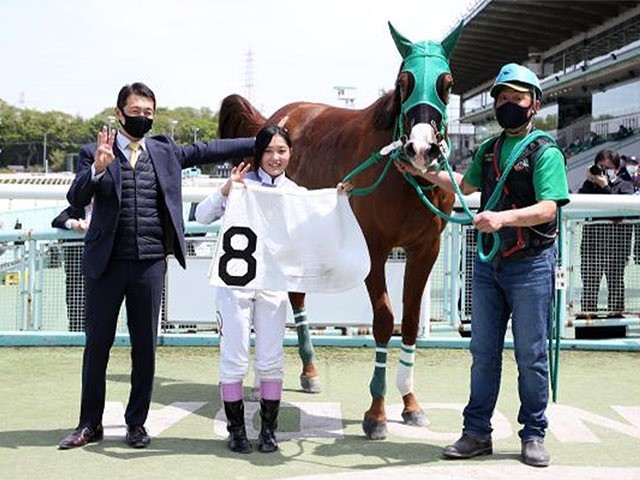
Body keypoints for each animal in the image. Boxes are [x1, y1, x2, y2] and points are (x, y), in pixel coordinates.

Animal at [220, 24, 460, 440]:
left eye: (446, 84)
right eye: (403, 82)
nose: (420, 148)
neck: (403, 179)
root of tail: (277, 117)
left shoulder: (426, 248)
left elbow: (410, 321)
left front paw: (411, 404)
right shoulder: (374, 248)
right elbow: (384, 320)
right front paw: (377, 413)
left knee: (296, 295)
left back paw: (309, 371)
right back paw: (260, 381)